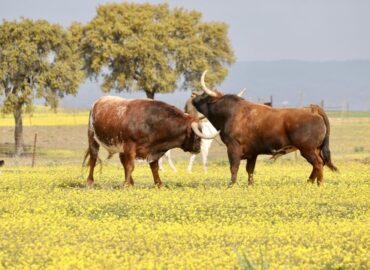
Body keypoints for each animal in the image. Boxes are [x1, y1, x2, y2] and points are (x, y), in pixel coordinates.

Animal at [84, 95, 217, 188]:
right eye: (197, 135)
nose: (198, 149)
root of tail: (99, 101)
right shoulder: (130, 146)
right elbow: (130, 166)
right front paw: (126, 185)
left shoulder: (154, 150)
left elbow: (154, 167)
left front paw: (159, 184)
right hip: (92, 138)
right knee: (93, 159)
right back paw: (90, 182)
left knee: (122, 161)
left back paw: (131, 182)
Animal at [192, 70, 336, 187]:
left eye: (204, 95)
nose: (193, 95)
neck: (231, 113)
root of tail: (312, 109)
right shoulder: (252, 152)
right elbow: (250, 170)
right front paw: (250, 185)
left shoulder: (233, 148)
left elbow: (234, 167)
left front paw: (231, 185)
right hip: (315, 149)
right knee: (319, 164)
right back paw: (309, 183)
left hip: (307, 149)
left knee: (318, 164)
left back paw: (318, 185)